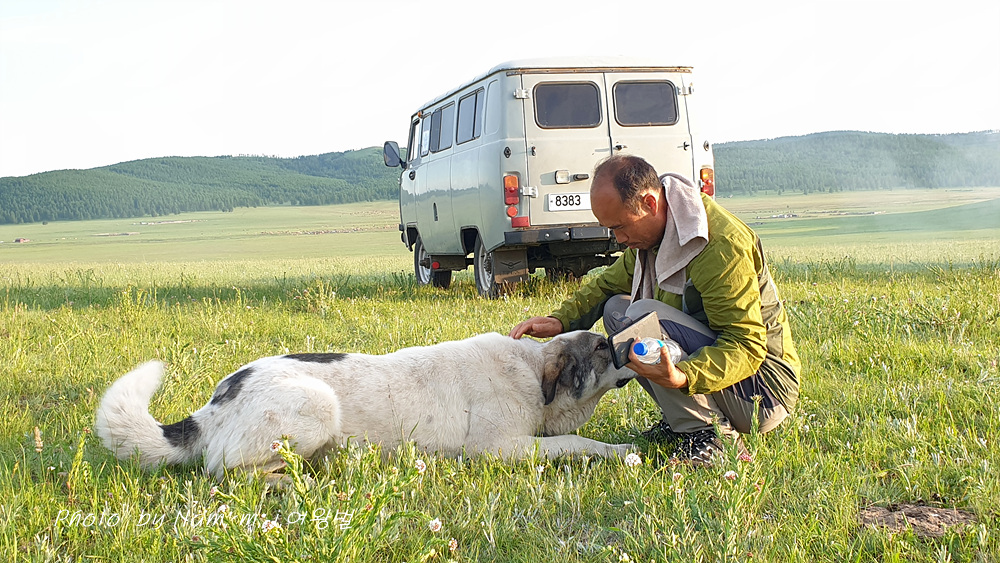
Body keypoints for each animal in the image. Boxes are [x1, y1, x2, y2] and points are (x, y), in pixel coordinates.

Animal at [95, 331, 636, 476]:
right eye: (603, 347)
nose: (632, 342)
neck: (531, 370)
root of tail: (214, 403)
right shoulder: (497, 448)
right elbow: (576, 441)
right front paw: (616, 452)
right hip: (317, 406)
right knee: (226, 471)